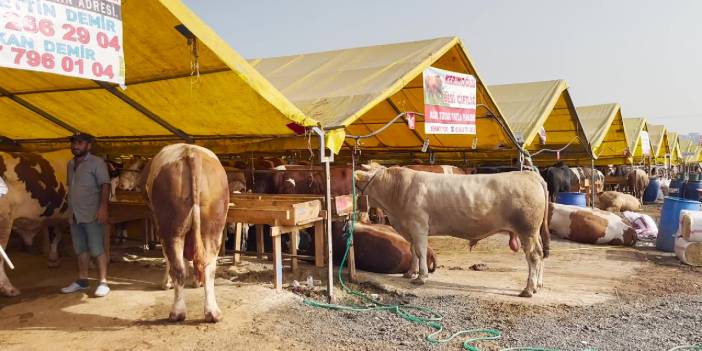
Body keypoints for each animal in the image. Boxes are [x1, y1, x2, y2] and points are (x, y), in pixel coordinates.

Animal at [144, 144, 230, 324]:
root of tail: (191, 152)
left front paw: (166, 283)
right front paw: (196, 281)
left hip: (170, 226)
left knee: (178, 267)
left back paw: (177, 312)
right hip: (214, 226)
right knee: (209, 266)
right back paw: (212, 312)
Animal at [354, 166, 552, 298]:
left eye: (356, 182)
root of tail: (530, 174)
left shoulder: (418, 225)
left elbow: (420, 251)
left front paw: (421, 277)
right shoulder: (409, 228)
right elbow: (413, 251)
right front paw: (410, 273)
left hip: (526, 229)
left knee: (533, 256)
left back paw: (528, 289)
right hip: (534, 232)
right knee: (540, 253)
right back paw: (538, 285)